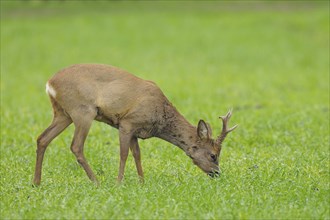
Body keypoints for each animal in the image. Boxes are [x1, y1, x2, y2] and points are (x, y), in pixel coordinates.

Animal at [32, 63, 236, 186]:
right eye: (213, 155)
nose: (217, 173)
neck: (160, 115)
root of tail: (50, 84)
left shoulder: (136, 132)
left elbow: (137, 154)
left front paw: (142, 182)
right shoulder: (127, 123)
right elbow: (123, 154)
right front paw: (119, 182)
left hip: (62, 114)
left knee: (42, 138)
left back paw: (36, 182)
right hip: (83, 111)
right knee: (76, 146)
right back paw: (96, 182)